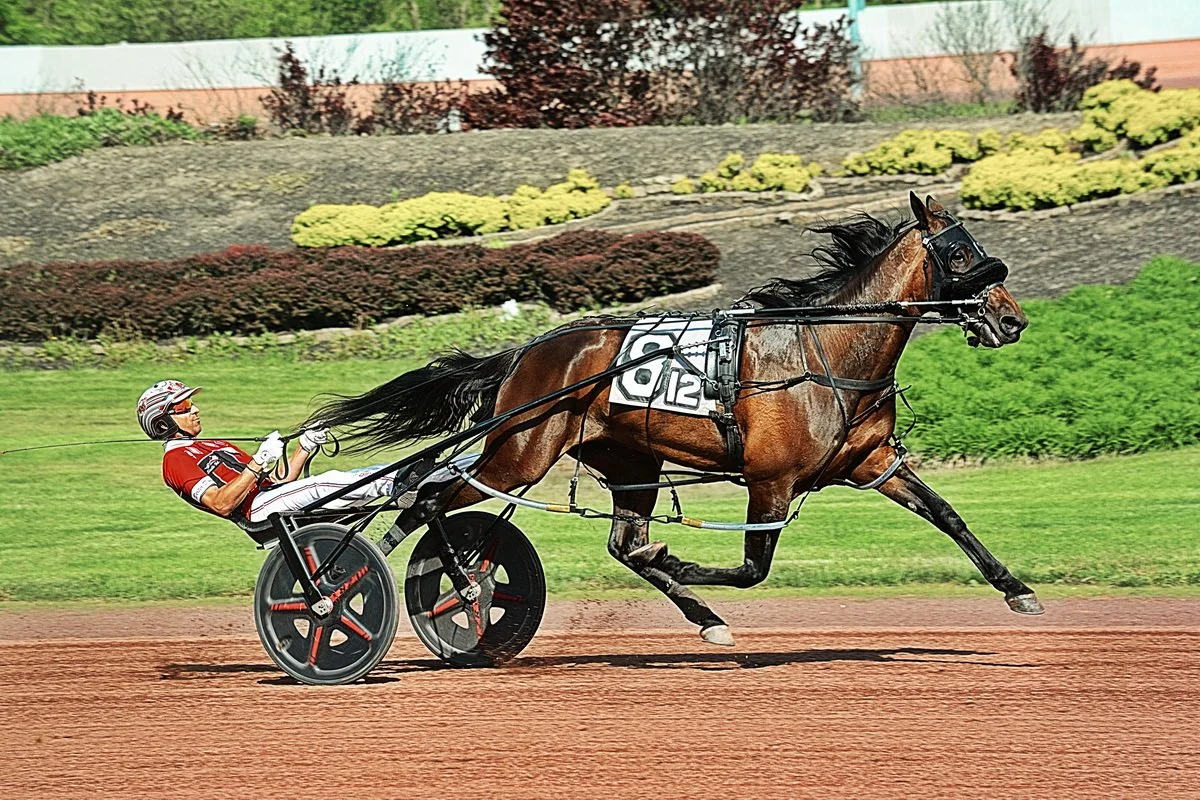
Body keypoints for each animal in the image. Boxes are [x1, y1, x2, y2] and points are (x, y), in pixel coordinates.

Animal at [307, 192, 1039, 645]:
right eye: (962, 255)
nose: (1012, 319)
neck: (823, 351)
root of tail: (527, 351)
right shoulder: (770, 480)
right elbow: (752, 568)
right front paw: (685, 562)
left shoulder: (873, 463)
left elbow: (947, 515)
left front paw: (1017, 588)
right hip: (519, 454)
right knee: (426, 497)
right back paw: (376, 588)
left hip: (628, 462)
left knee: (618, 544)